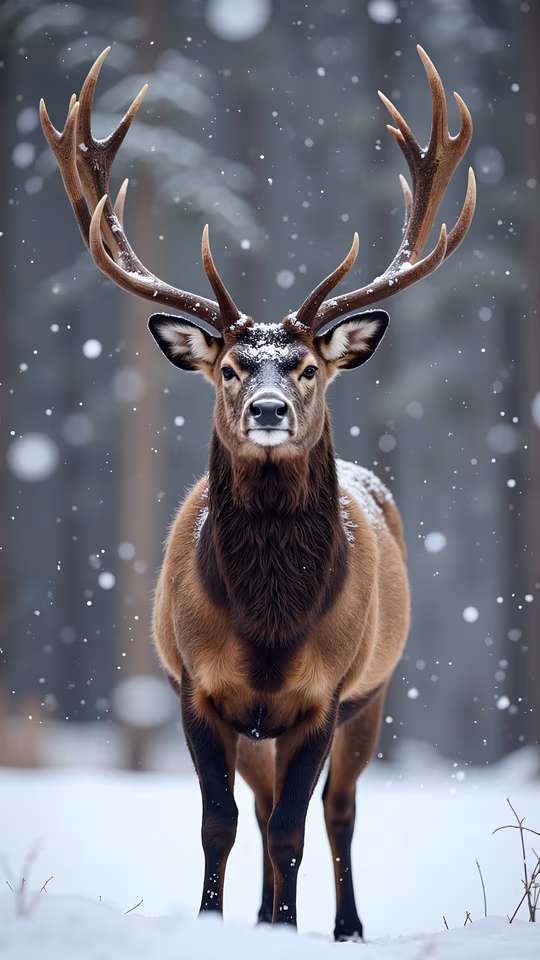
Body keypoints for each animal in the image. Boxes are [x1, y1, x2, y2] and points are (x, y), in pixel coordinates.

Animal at [41, 44, 475, 940]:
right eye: (231, 368)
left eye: (306, 366)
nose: (268, 409)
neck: (270, 624)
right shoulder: (198, 688)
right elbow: (222, 822)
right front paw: (220, 922)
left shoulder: (324, 695)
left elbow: (293, 829)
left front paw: (288, 927)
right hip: (260, 725)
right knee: (269, 801)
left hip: (374, 698)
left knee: (336, 812)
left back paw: (343, 924)